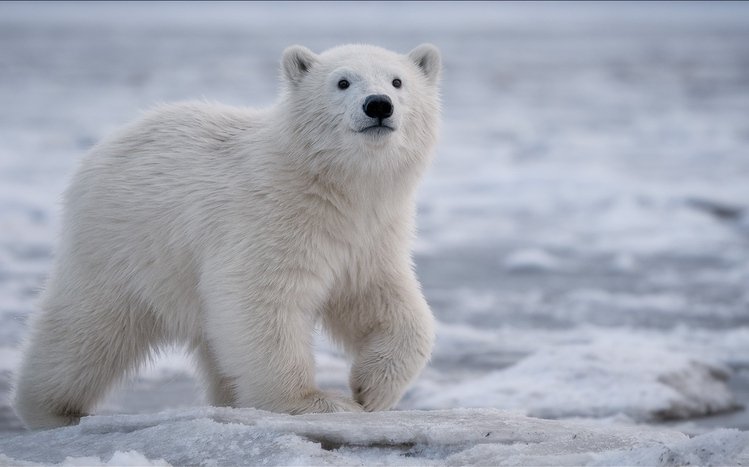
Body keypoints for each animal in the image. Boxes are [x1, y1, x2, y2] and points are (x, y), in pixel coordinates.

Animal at [12, 43, 441, 429]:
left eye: (397, 81)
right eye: (342, 81)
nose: (378, 105)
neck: (332, 185)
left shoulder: (369, 235)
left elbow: (385, 304)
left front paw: (372, 390)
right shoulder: (269, 218)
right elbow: (261, 302)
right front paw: (316, 402)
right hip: (123, 244)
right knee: (86, 329)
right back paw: (50, 409)